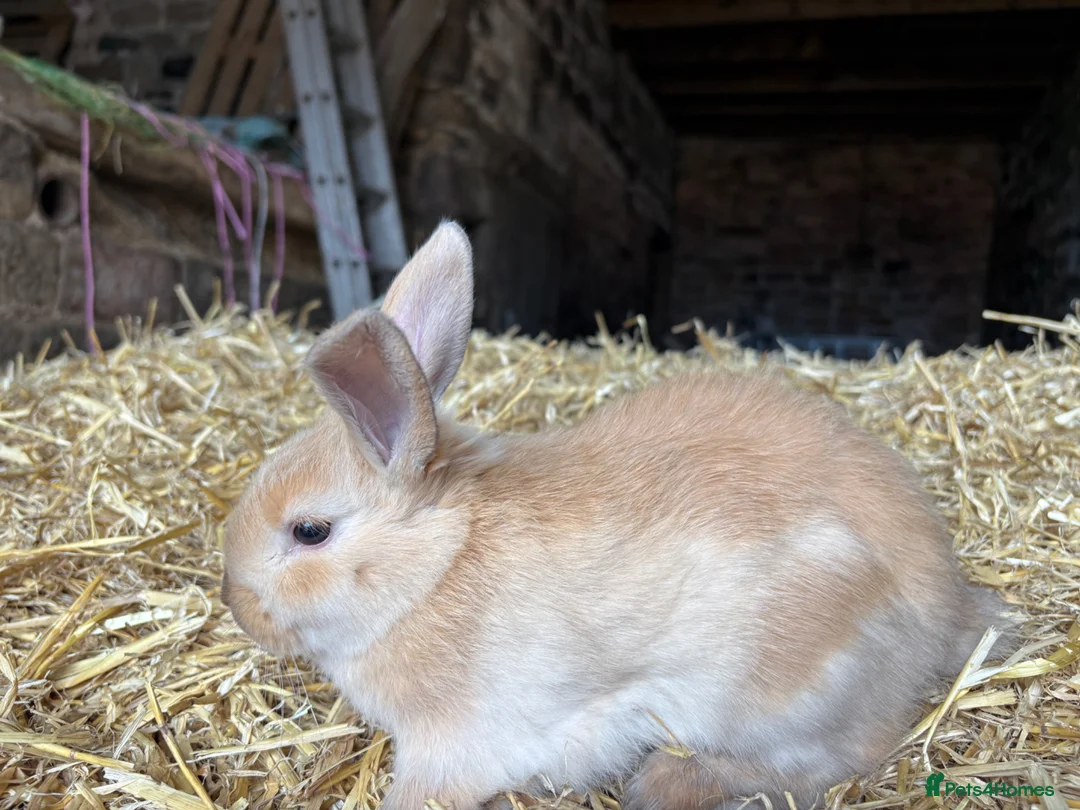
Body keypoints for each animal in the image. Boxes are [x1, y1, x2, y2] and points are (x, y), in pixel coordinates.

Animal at [221, 220, 1009, 810]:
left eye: (310, 531)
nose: (237, 605)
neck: (436, 566)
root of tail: (943, 610)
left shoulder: (460, 742)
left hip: (781, 690)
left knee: (830, 759)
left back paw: (665, 782)